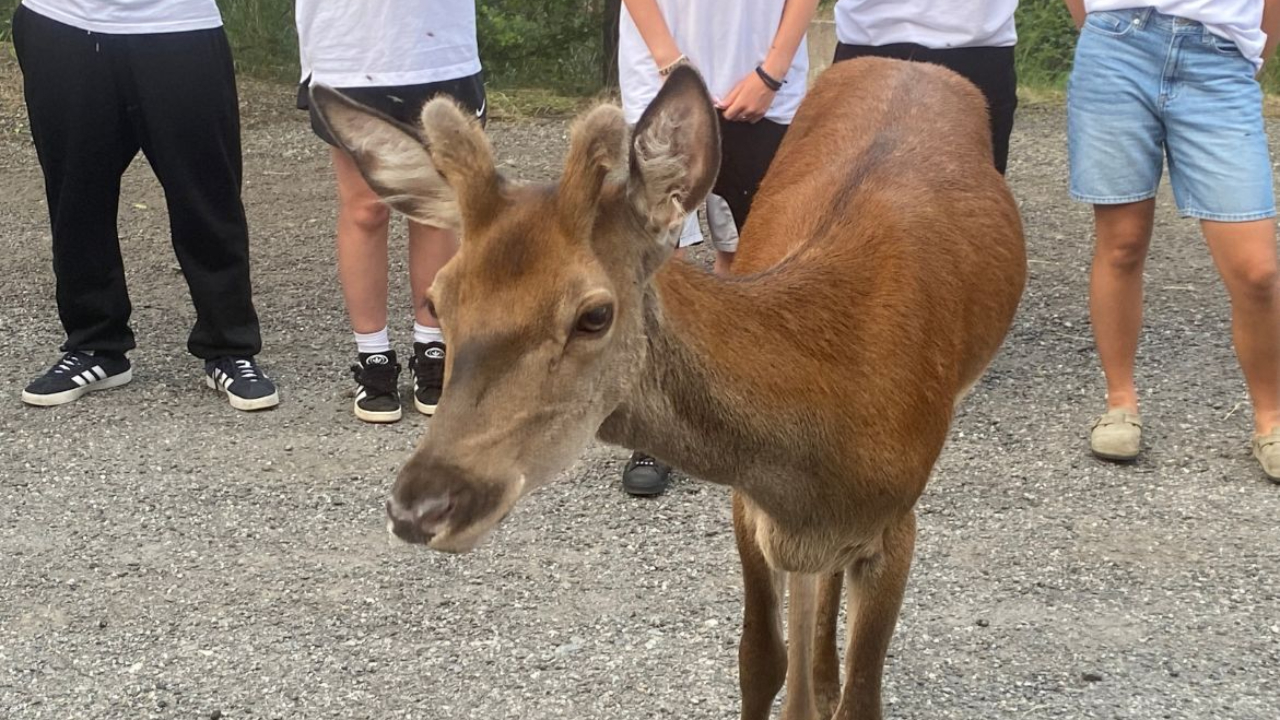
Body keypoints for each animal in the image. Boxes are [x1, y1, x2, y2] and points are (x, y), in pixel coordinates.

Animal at [310, 56, 1025, 720]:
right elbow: (758, 660)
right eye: (438, 299)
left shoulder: (900, 519)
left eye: (594, 314)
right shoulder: (749, 504)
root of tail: (912, 61)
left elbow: (861, 695)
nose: (422, 505)